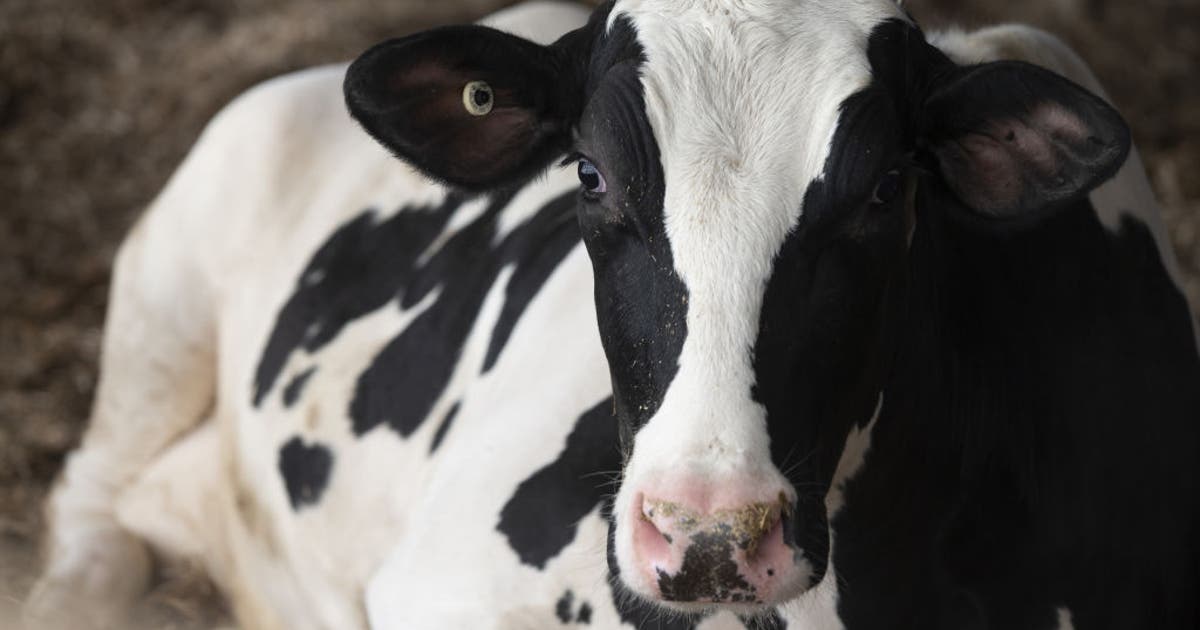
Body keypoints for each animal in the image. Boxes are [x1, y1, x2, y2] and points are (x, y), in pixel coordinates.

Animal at [24, 0, 1200, 629]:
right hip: (171, 275)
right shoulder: (442, 585)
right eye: (588, 174)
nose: (708, 532)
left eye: (884, 191)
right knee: (90, 502)